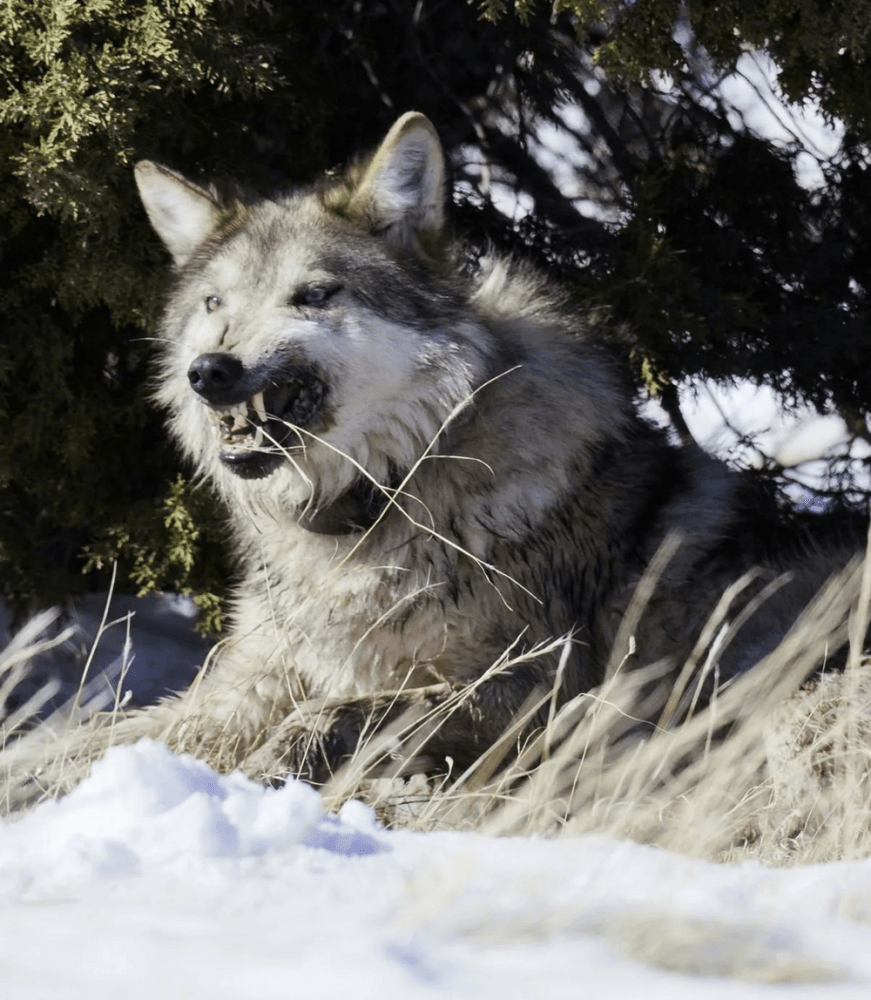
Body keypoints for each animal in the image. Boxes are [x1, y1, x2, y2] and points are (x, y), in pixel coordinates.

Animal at [20, 111, 864, 796]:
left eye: (313, 295)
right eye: (213, 304)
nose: (209, 373)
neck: (380, 500)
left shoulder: (530, 690)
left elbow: (333, 715)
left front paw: (264, 778)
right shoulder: (240, 687)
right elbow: (84, 740)